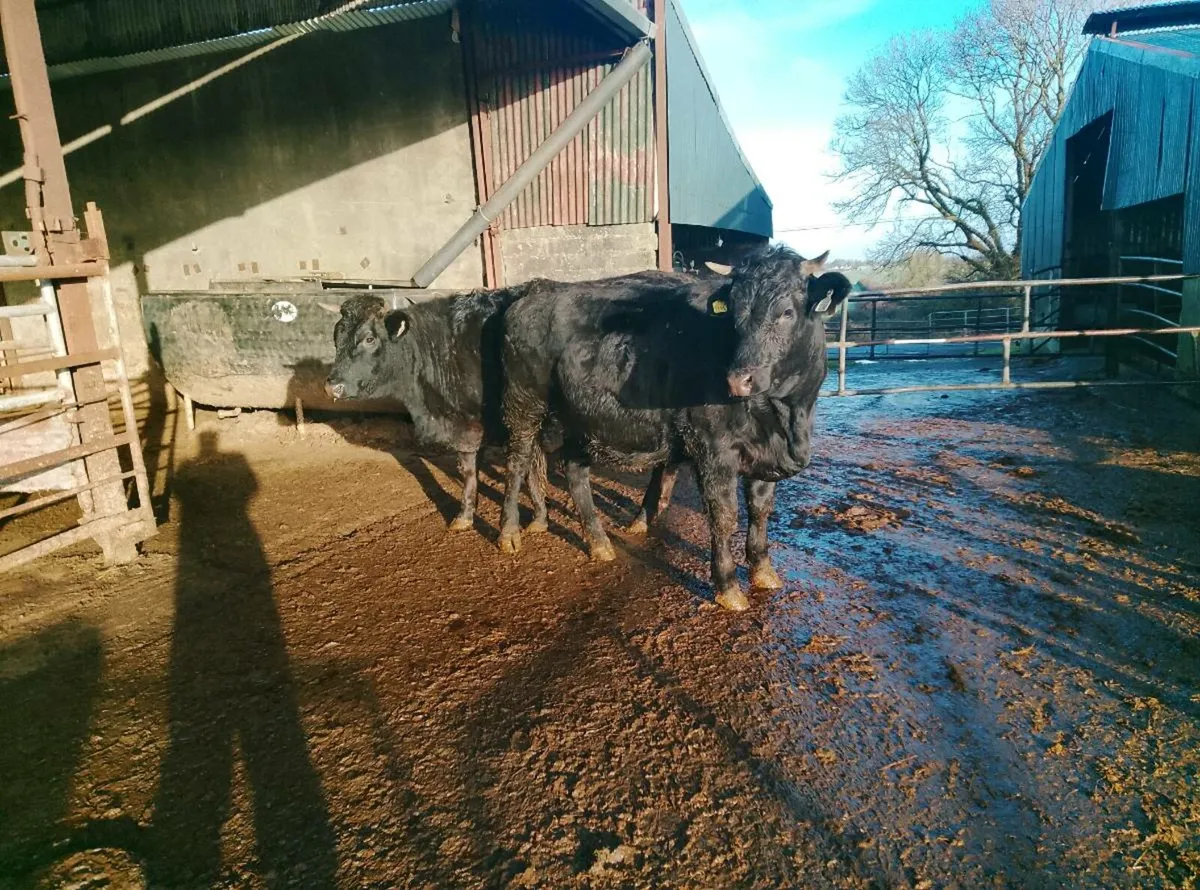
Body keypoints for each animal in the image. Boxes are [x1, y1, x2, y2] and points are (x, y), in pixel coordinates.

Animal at [497, 246, 851, 611]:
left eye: (786, 311)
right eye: (733, 315)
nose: (738, 380)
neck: (786, 417)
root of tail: (532, 296)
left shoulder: (764, 454)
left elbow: (760, 511)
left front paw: (764, 572)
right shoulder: (713, 451)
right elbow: (724, 516)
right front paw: (728, 587)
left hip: (581, 419)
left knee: (576, 474)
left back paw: (599, 543)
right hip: (523, 404)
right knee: (517, 462)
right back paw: (509, 533)